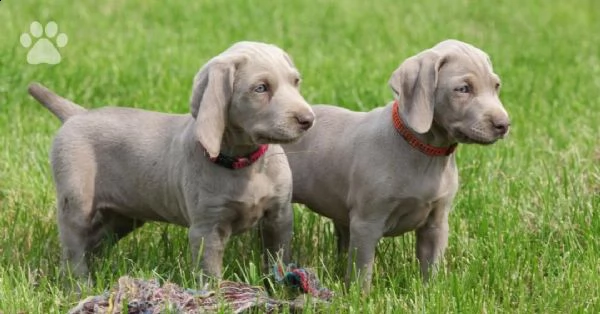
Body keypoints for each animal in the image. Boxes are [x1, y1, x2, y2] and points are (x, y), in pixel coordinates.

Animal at [29, 40, 314, 286]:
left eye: (296, 82)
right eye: (261, 88)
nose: (308, 120)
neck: (245, 164)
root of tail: (76, 115)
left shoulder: (279, 216)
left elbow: (278, 259)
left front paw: (279, 289)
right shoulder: (206, 229)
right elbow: (210, 274)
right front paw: (217, 297)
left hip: (123, 215)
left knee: (96, 242)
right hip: (76, 201)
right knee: (74, 249)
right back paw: (80, 286)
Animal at [284, 39, 508, 292]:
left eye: (496, 86)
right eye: (463, 89)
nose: (504, 124)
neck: (426, 153)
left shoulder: (437, 223)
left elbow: (431, 267)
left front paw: (429, 293)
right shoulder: (366, 223)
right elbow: (362, 272)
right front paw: (359, 297)